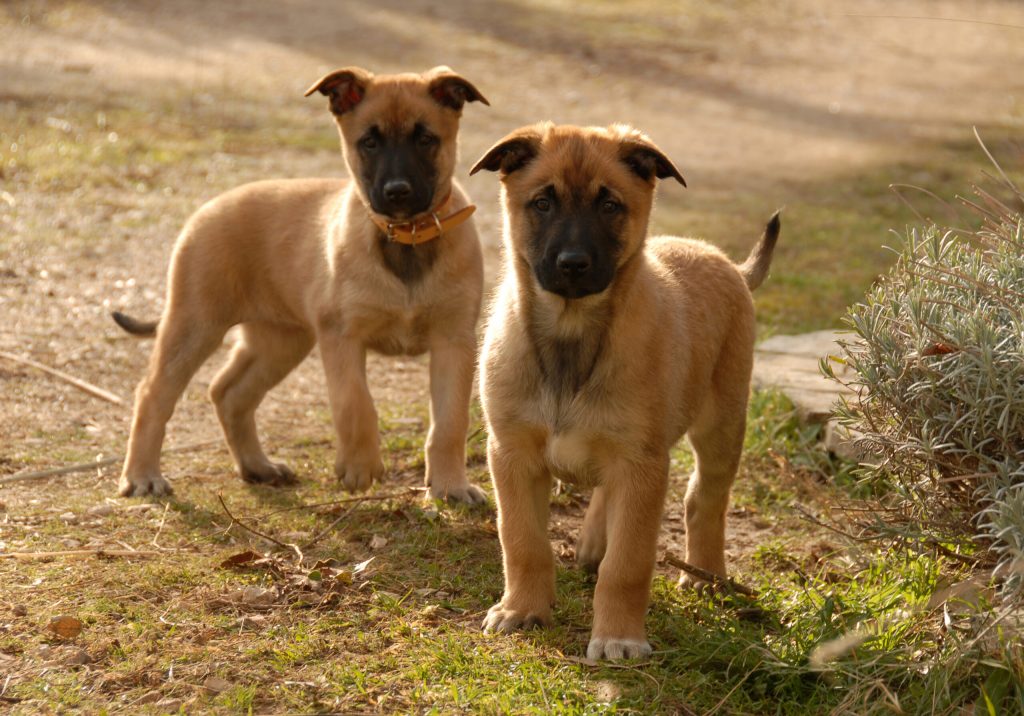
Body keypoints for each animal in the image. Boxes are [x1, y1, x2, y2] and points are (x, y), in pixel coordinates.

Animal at [113, 67, 491, 503]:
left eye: (426, 139)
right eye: (369, 142)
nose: (398, 192)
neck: (406, 239)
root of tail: (206, 209)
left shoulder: (454, 342)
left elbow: (449, 422)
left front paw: (450, 486)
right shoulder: (340, 335)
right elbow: (354, 403)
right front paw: (360, 467)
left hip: (280, 341)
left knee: (229, 393)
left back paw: (257, 466)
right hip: (194, 325)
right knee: (153, 395)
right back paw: (142, 476)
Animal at [468, 123, 774, 659]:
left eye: (610, 205)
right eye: (542, 203)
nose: (572, 263)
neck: (571, 339)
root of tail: (727, 263)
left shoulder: (641, 465)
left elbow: (627, 564)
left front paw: (618, 636)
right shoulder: (512, 455)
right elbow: (523, 541)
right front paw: (521, 609)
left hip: (721, 425)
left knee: (705, 499)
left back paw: (706, 575)